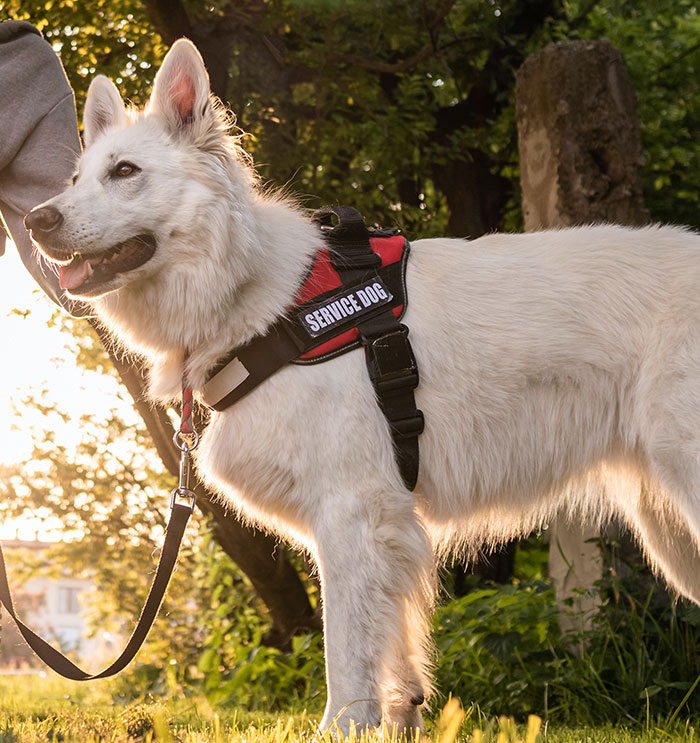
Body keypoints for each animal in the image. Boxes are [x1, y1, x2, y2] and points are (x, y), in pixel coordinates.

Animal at [26, 37, 700, 736]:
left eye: (125, 171)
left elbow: (346, 652)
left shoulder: (352, 516)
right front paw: (397, 722)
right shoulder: (385, 531)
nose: (35, 220)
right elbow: (395, 661)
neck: (261, 297)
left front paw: (339, 729)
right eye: (76, 180)